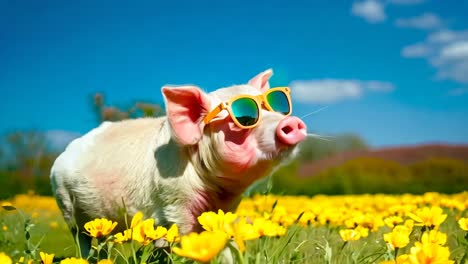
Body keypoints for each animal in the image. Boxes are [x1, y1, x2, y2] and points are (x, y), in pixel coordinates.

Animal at [50, 68, 308, 256]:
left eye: (275, 107)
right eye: (244, 118)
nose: (291, 122)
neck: (216, 190)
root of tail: (60, 157)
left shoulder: (226, 208)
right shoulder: (173, 202)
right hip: (66, 207)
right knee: (82, 239)